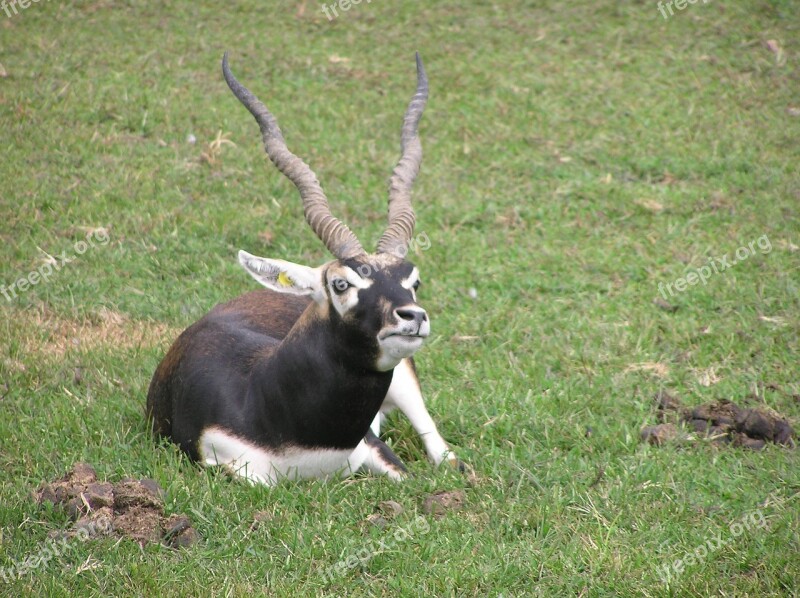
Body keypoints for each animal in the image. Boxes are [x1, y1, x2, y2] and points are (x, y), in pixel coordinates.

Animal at [145, 52, 460, 488]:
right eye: (341, 283)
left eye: (413, 281)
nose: (412, 316)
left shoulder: (375, 448)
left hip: (407, 384)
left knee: (444, 454)